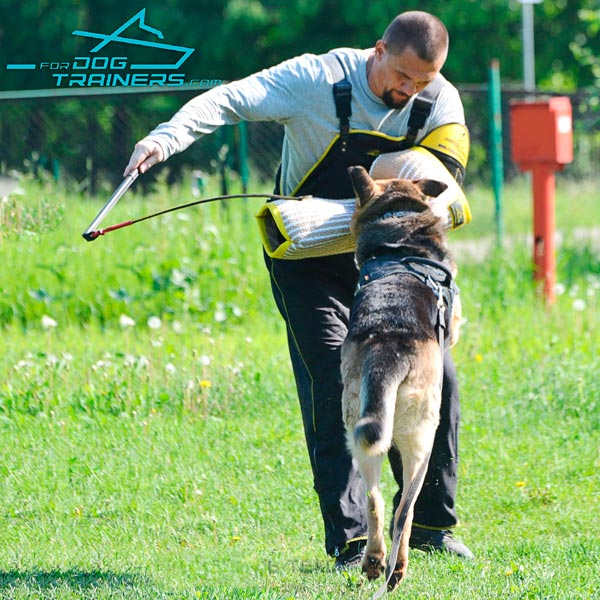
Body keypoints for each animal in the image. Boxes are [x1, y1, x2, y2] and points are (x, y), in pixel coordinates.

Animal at [340, 166, 462, 592]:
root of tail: (387, 348)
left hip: (360, 434)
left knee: (375, 501)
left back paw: (375, 561)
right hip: (421, 441)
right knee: (403, 510)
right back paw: (396, 569)